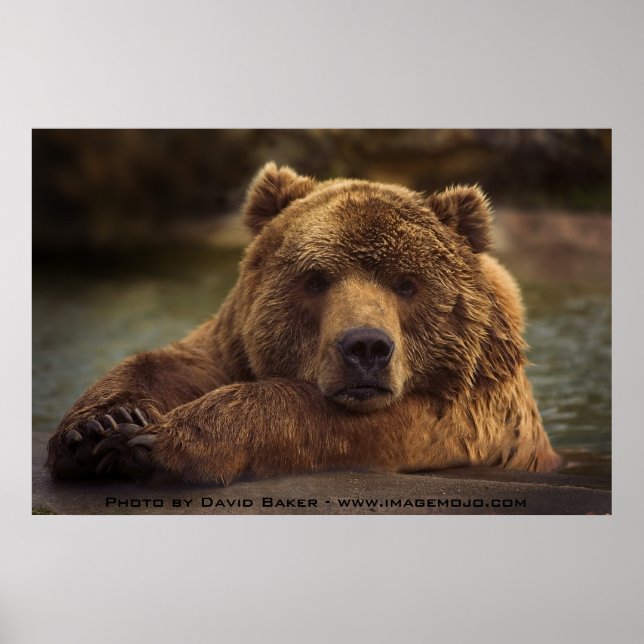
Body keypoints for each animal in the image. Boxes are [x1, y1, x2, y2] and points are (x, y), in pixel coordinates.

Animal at [46, 162, 563, 484]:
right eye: (315, 279)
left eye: (407, 283)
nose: (366, 347)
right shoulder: (229, 347)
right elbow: (165, 365)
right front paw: (98, 427)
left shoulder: (462, 410)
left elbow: (325, 417)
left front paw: (151, 444)